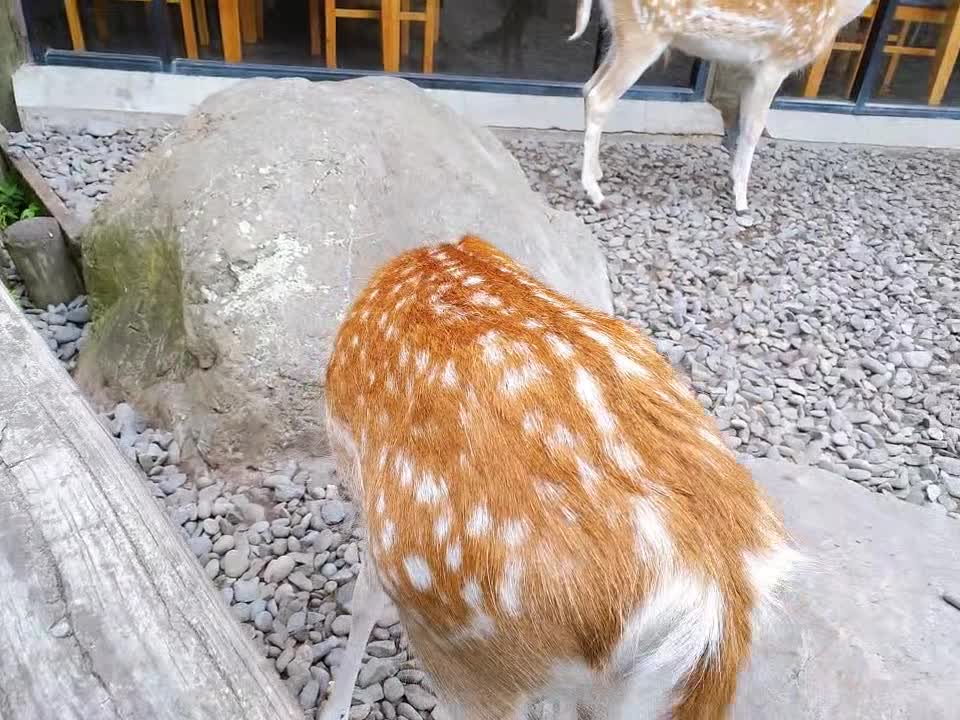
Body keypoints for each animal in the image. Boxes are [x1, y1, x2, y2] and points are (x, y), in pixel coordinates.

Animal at [572, 0, 872, 214]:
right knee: (600, 96)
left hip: (621, 33)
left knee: (589, 87)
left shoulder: (752, 69)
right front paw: (741, 202)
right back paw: (597, 195)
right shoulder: (776, 63)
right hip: (643, 34)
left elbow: (743, 122)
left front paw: (733, 180)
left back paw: (597, 172)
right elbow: (753, 129)